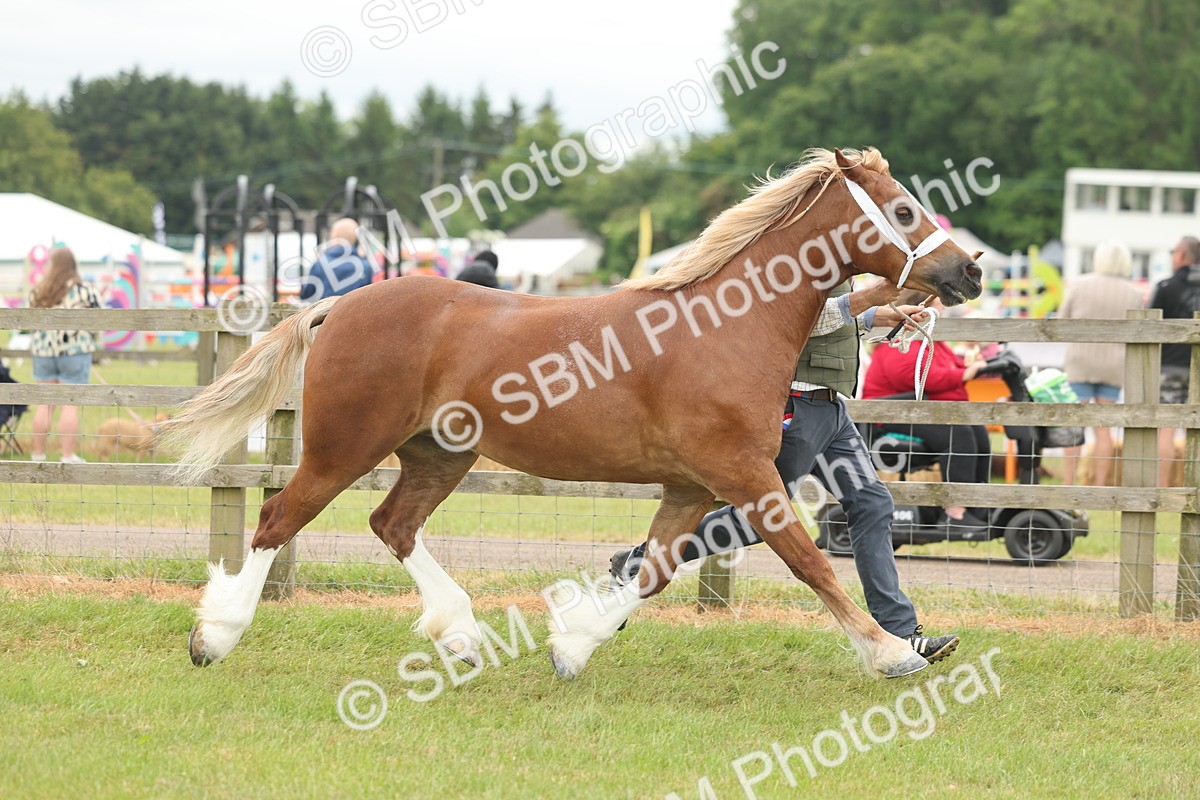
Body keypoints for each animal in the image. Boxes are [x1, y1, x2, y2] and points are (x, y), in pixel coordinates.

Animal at [162, 147, 982, 679]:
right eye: (904, 208)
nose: (967, 271)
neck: (726, 326)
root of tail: (339, 305)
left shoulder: (693, 486)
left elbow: (652, 572)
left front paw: (572, 644)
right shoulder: (746, 476)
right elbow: (812, 563)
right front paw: (891, 651)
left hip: (439, 454)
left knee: (392, 525)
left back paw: (462, 637)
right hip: (343, 448)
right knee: (278, 521)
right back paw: (214, 638)